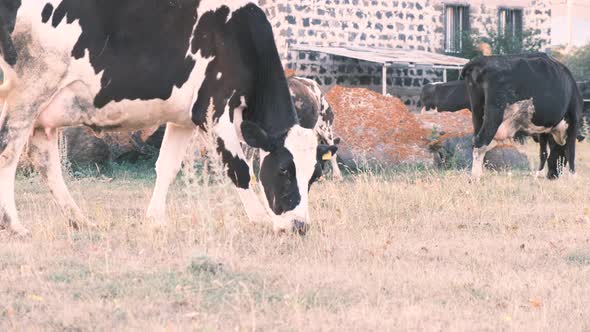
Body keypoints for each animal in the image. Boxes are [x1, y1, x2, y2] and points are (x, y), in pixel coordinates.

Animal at [0, 0, 338, 235]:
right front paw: (262, 219)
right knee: (9, 151)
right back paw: (14, 224)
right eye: (283, 170)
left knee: (45, 162)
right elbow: (239, 169)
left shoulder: (183, 118)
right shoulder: (214, 111)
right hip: (28, 92)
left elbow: (167, 167)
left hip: (44, 113)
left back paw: (80, 220)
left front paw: (155, 220)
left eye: (314, 176)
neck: (239, 36)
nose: (299, 226)